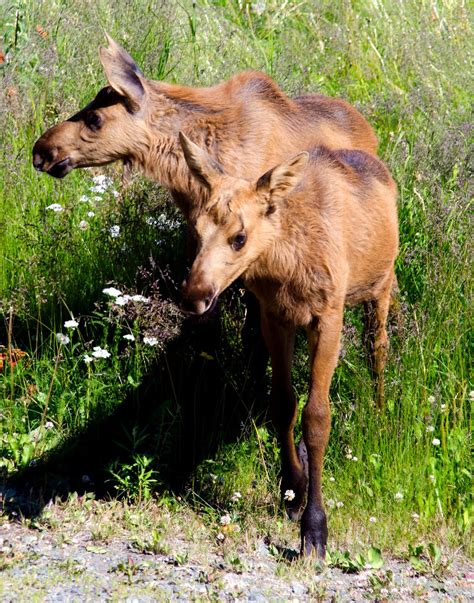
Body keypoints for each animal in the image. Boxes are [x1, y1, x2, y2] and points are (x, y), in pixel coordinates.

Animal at [180, 134, 398, 560]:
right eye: (195, 231)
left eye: (240, 237)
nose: (195, 296)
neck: (285, 265)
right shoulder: (274, 315)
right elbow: (283, 404)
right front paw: (293, 488)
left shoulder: (328, 316)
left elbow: (317, 417)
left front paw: (315, 530)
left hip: (380, 286)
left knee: (377, 350)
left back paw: (381, 413)